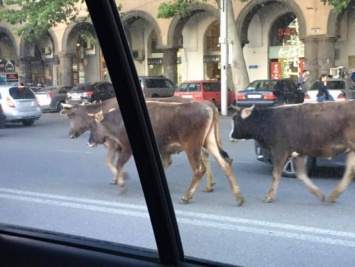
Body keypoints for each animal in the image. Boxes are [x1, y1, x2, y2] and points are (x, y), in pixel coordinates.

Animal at [89, 101, 245, 206]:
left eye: (93, 126)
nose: (89, 141)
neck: (118, 121)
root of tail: (207, 107)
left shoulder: (127, 149)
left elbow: (119, 164)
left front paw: (121, 185)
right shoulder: (162, 152)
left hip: (192, 148)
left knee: (199, 169)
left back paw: (186, 196)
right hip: (209, 142)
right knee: (224, 162)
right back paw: (238, 197)